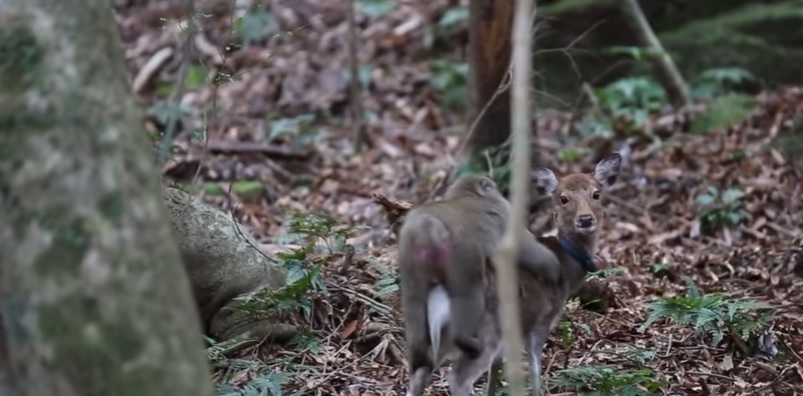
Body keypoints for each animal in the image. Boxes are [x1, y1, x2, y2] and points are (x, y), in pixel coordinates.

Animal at [398, 174, 564, 396]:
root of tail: (426, 227)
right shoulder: (503, 211)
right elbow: (523, 248)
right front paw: (555, 268)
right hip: (461, 256)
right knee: (471, 290)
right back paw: (465, 341)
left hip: (411, 263)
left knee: (414, 303)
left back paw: (418, 365)